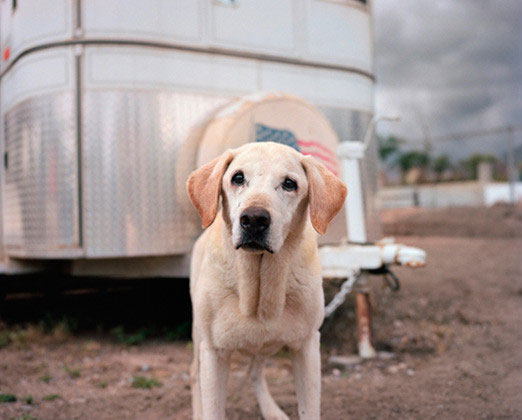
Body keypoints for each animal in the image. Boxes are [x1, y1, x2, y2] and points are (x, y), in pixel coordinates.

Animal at [186, 142, 346, 420]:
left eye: (290, 183)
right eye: (237, 178)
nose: (253, 219)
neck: (259, 288)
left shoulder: (306, 347)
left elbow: (309, 410)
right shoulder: (214, 352)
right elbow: (212, 408)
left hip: (264, 344)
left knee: (254, 371)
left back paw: (272, 411)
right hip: (199, 337)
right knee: (196, 377)